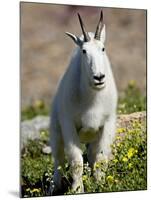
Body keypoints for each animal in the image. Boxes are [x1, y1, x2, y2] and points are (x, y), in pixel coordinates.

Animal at [50, 10, 117, 194]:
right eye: (84, 51)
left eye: (103, 48)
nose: (99, 77)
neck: (92, 98)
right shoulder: (68, 124)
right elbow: (76, 161)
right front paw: (77, 189)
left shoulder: (108, 122)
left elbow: (101, 157)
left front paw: (100, 184)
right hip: (56, 130)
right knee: (58, 159)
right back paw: (54, 186)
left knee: (92, 155)